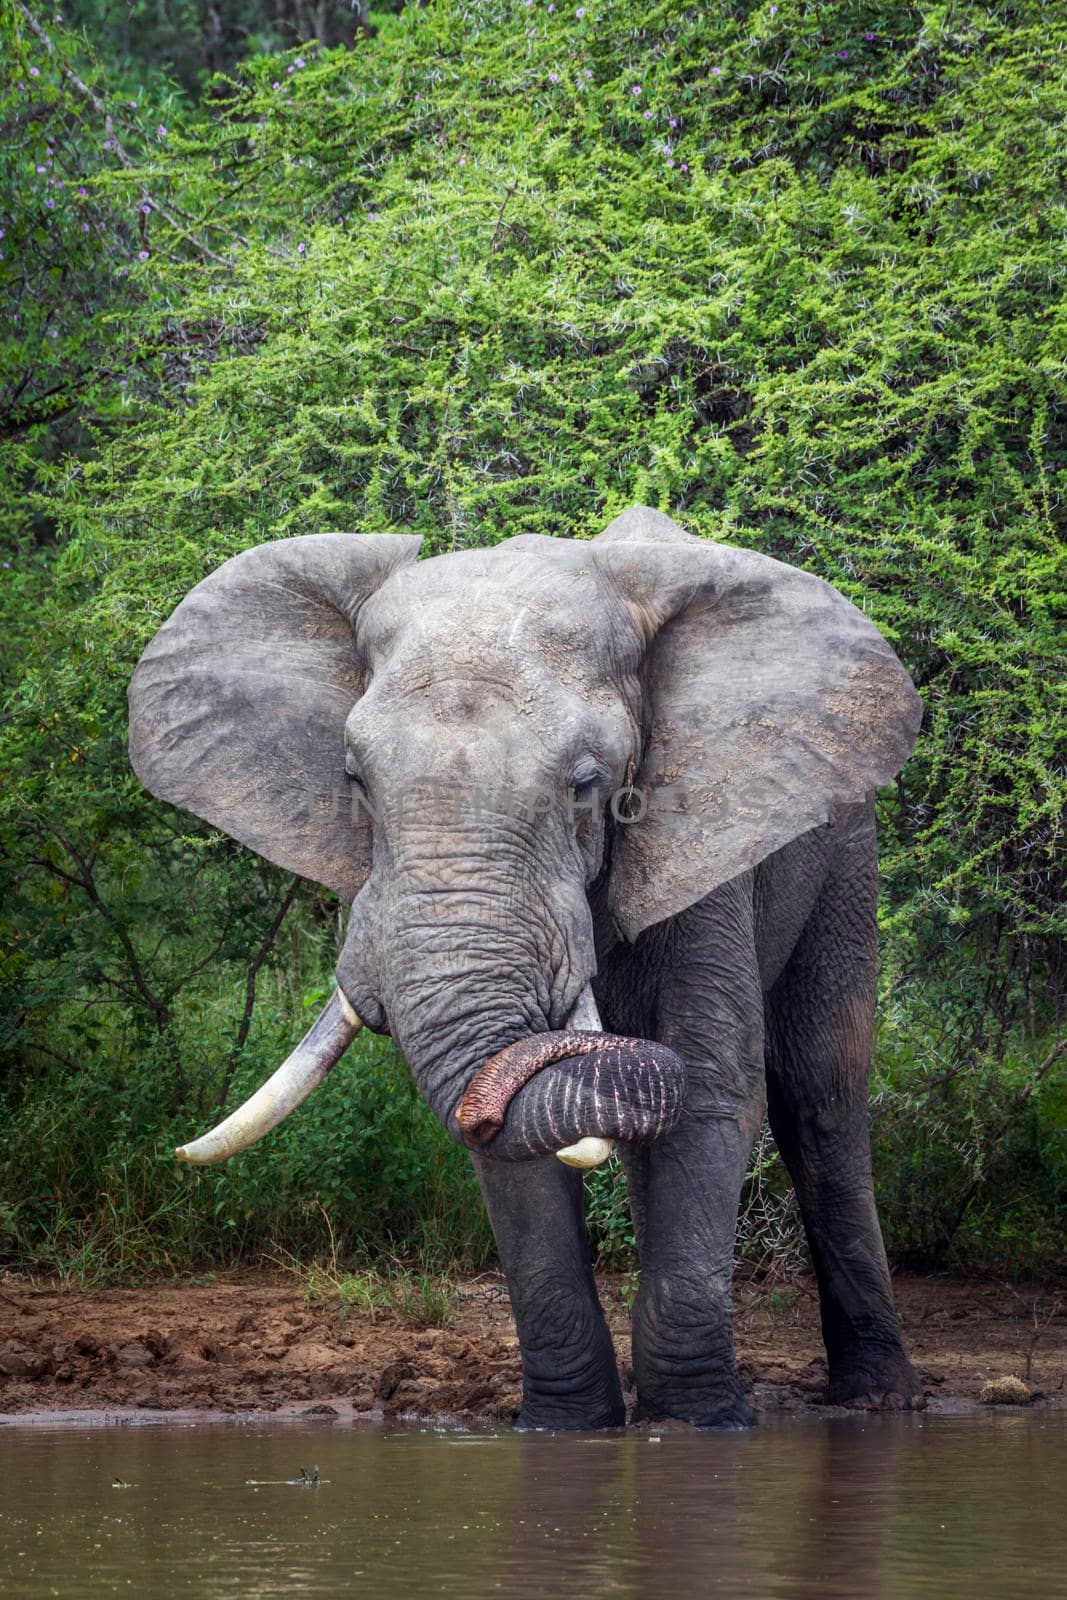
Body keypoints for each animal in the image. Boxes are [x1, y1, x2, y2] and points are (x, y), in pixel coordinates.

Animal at [127, 508, 927, 1427]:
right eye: (353, 779)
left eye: (586, 784)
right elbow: (513, 1140)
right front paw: (566, 1427)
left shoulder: (702, 834)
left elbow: (715, 1092)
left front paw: (696, 1425)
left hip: (847, 840)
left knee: (818, 1092)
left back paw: (876, 1398)